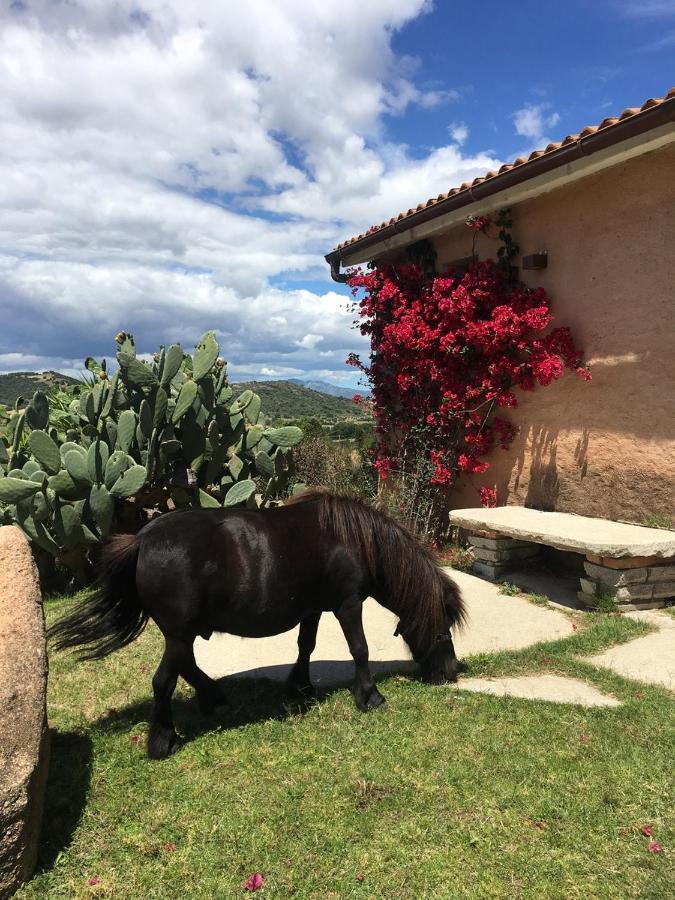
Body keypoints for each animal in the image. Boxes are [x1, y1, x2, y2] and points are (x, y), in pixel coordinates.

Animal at [50, 492, 468, 760]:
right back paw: (163, 740)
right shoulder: (348, 605)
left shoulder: (313, 609)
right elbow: (359, 649)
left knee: (186, 667)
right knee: (164, 681)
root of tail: (142, 539)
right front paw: (369, 696)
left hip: (182, 634)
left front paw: (300, 687)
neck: (355, 540)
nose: (450, 671)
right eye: (444, 626)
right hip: (180, 633)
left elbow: (306, 645)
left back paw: (214, 697)